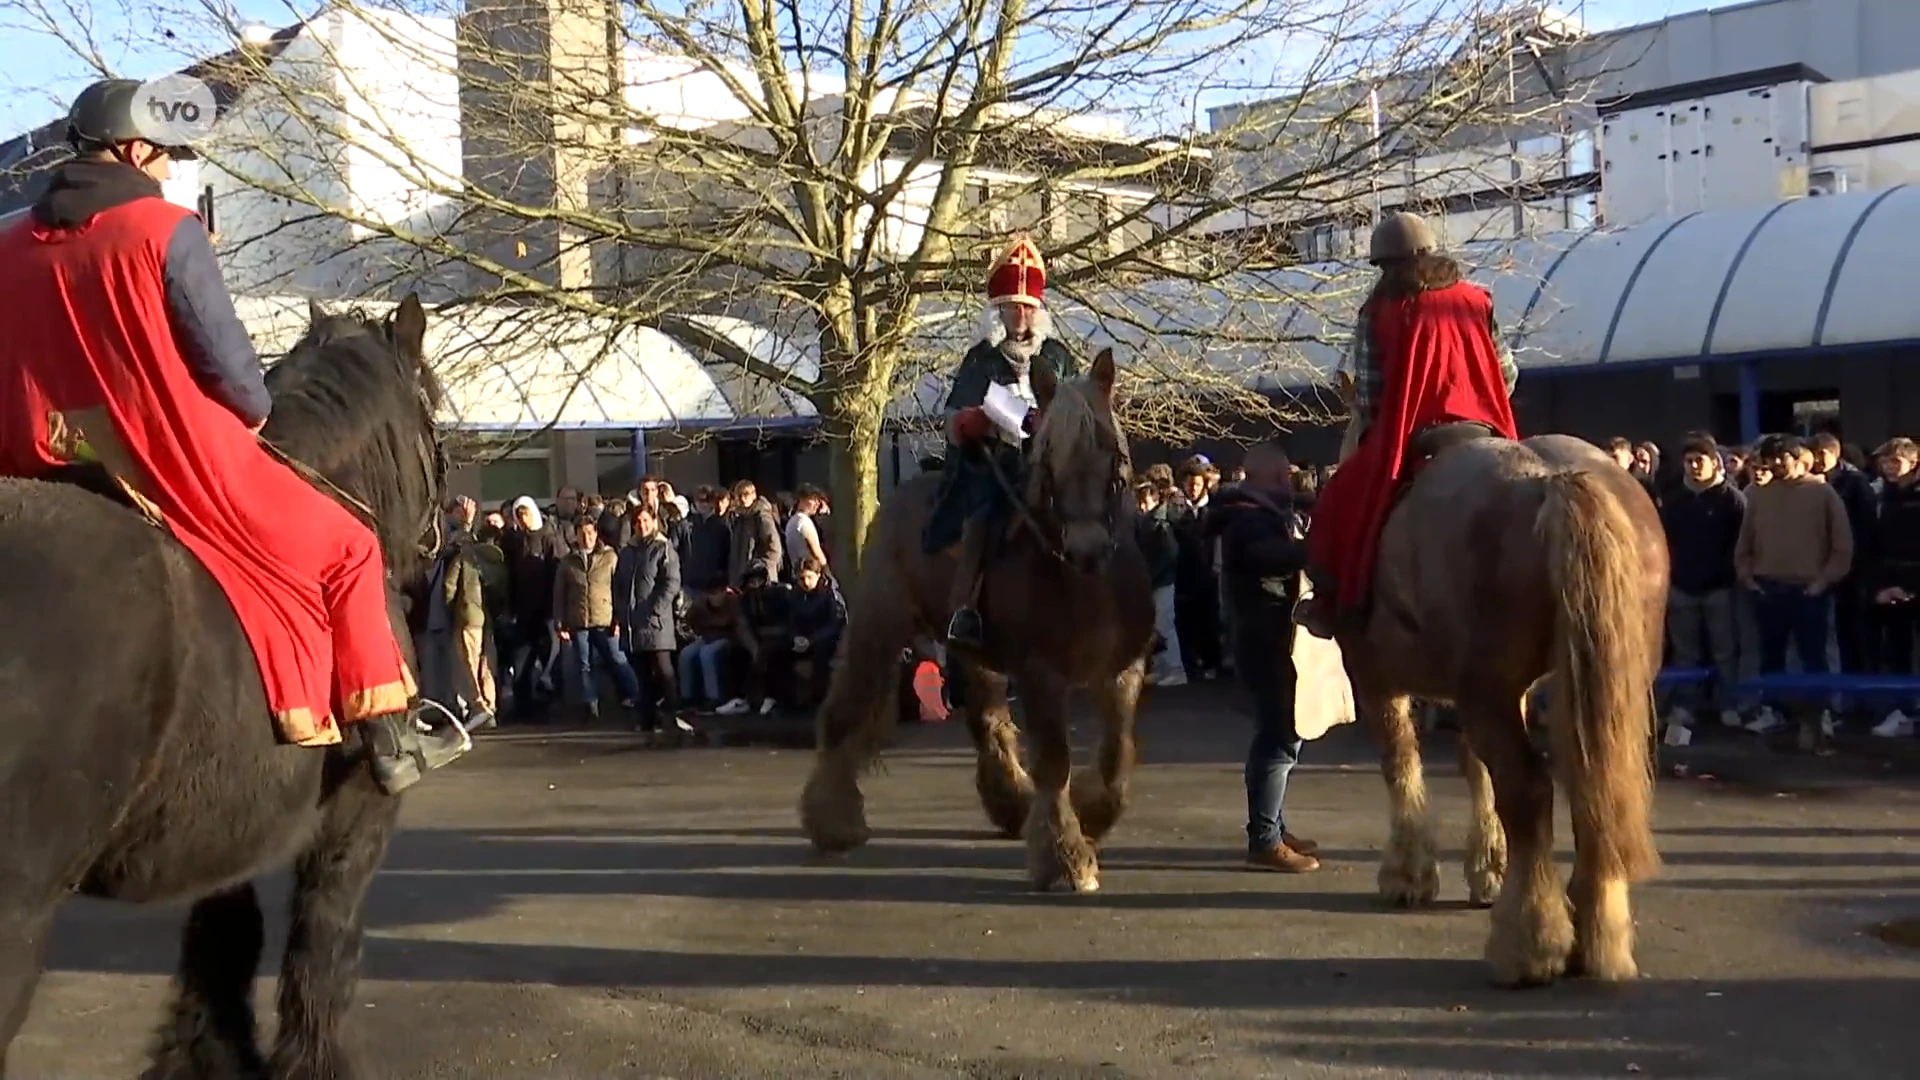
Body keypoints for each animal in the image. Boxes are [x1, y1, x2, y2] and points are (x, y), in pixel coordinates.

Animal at [798, 349, 1152, 887]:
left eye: (1110, 449)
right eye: (1049, 454)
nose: (1088, 548)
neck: (1086, 583)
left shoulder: (1123, 669)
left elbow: (1117, 751)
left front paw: (1091, 816)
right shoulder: (1040, 673)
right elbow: (1055, 761)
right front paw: (1065, 855)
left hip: (973, 652)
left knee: (987, 720)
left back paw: (1011, 804)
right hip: (879, 625)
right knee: (847, 710)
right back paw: (834, 822)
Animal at [1336, 430, 1666, 983]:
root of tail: (1557, 481)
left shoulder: (1374, 675)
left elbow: (1401, 762)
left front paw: (1408, 873)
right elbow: (1475, 770)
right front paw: (1488, 864)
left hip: (1486, 689)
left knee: (1529, 790)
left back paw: (1530, 944)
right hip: (1593, 683)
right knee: (1592, 786)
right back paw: (1597, 933)